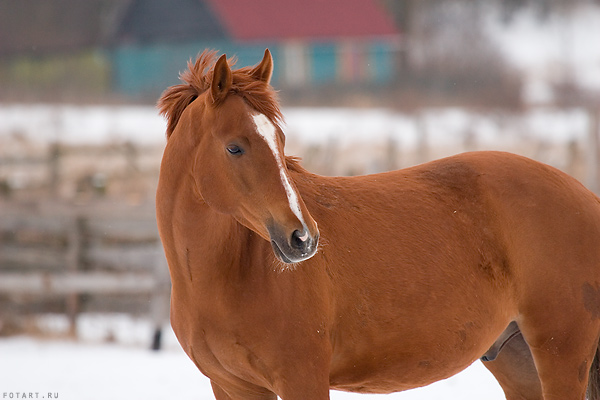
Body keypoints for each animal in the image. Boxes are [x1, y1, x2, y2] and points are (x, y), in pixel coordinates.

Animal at [157, 50, 600, 400]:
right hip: (517, 360)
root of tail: (587, 197)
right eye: (234, 147)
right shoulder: (233, 387)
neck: (224, 275)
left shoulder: (302, 379)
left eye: (280, 143)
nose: (303, 238)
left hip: (561, 356)